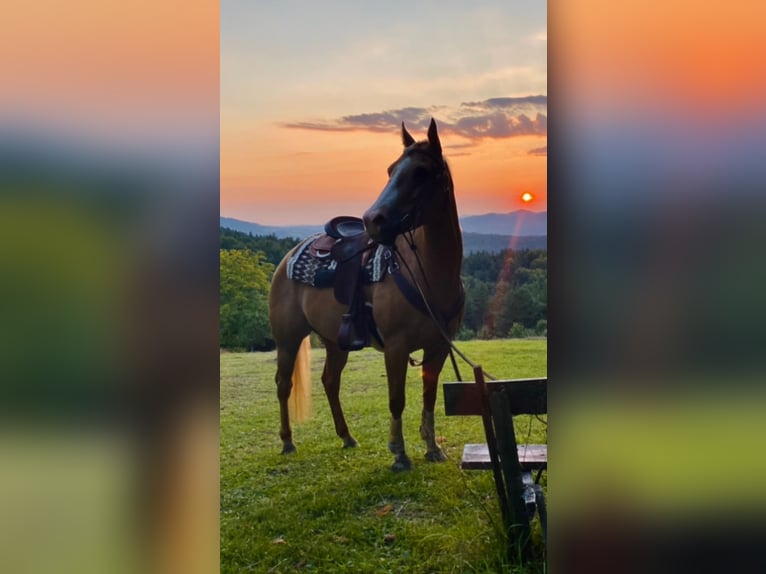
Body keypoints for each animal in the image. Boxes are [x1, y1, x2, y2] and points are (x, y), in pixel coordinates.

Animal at [268, 118, 464, 471]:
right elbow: (397, 399)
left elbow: (429, 395)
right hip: (288, 339)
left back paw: (347, 436)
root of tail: (288, 256)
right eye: (390, 170)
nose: (373, 220)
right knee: (283, 384)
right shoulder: (396, 347)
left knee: (330, 381)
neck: (430, 275)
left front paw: (432, 448)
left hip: (335, 341)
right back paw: (288, 441)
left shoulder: (439, 346)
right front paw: (399, 453)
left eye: (421, 172)